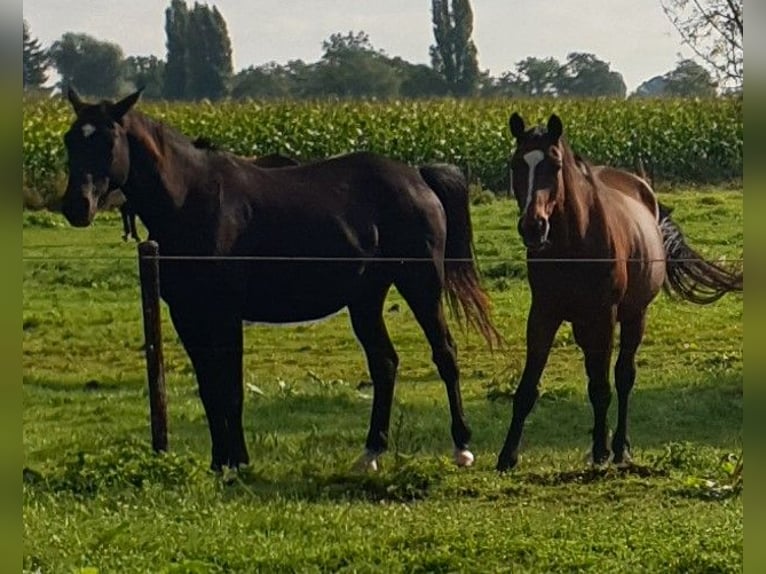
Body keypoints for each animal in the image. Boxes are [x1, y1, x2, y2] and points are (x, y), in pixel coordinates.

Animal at [61, 89, 504, 472]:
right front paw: (219, 462)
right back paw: (371, 452)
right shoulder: (188, 316)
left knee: (444, 353)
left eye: (108, 142)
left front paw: (237, 463)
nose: (75, 207)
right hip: (366, 297)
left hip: (421, 285)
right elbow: (209, 389)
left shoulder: (224, 315)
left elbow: (231, 390)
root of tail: (418, 176)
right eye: (69, 140)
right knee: (385, 364)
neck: (191, 200)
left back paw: (462, 447)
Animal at [498, 111, 744, 472]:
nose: (533, 226)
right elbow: (528, 387)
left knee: (623, 376)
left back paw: (618, 447)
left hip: (632, 316)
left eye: (554, 165)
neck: (574, 244)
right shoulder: (543, 314)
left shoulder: (603, 315)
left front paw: (601, 450)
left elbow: (602, 386)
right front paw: (507, 455)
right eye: (516, 164)